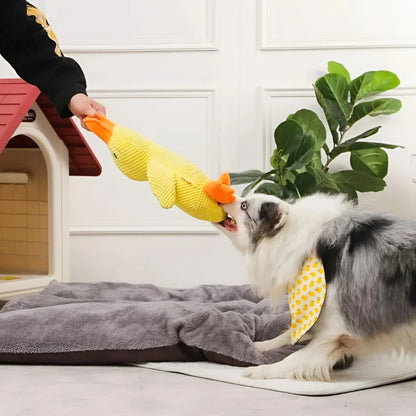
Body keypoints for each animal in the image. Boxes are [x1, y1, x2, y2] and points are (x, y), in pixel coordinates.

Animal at [216, 193, 416, 380]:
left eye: (244, 205)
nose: (221, 197)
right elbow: (289, 333)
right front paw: (262, 345)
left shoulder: (335, 330)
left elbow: (296, 357)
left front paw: (263, 370)